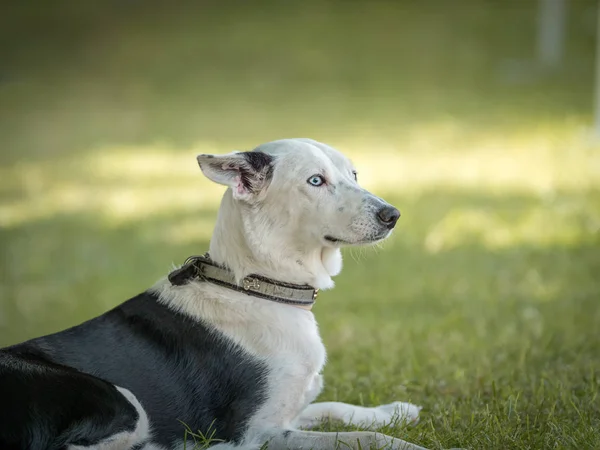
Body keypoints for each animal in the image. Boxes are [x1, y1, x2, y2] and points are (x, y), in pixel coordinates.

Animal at [0, 139, 426, 448]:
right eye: (315, 181)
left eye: (353, 173)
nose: (393, 215)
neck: (255, 286)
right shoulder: (256, 433)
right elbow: (361, 438)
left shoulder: (286, 413)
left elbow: (337, 408)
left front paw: (393, 410)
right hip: (120, 402)